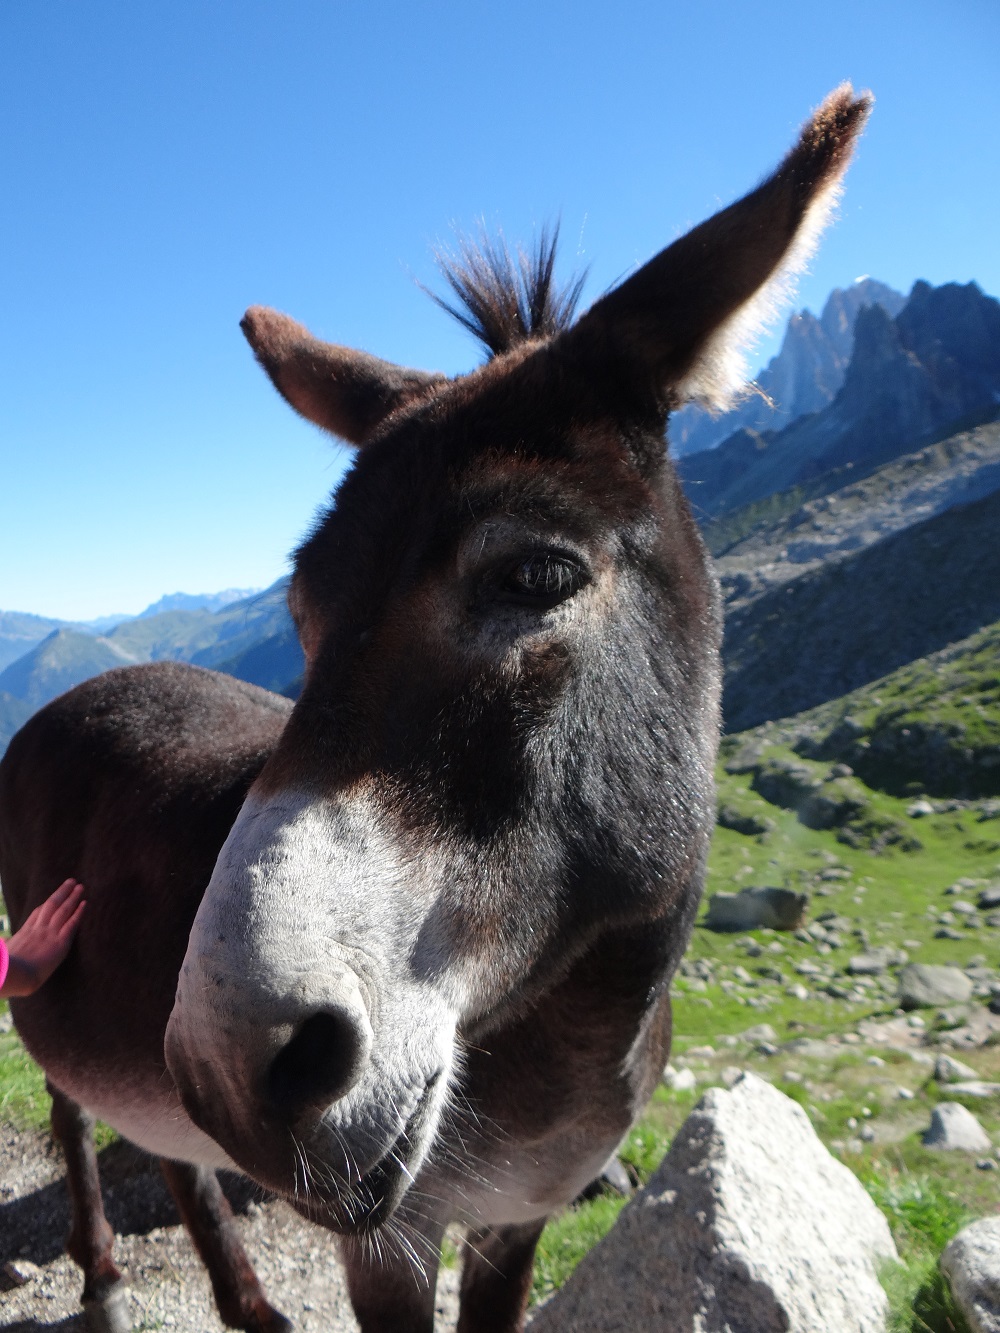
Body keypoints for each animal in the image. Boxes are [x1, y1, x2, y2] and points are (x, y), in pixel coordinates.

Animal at [0, 86, 870, 1333]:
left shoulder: (518, 1218)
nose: (226, 1066)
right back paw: (108, 1269)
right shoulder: (391, 1245)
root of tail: (74, 692)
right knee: (69, 1100)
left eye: (536, 575)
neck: (569, 1025)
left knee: (157, 1140)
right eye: (302, 609)